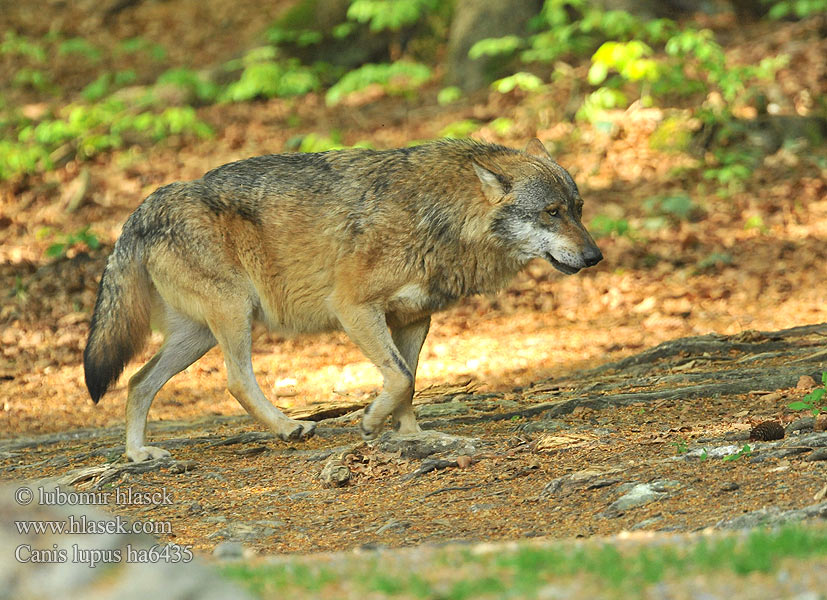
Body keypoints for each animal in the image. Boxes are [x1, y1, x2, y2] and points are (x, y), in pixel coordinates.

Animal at [82, 138, 600, 462]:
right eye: (551, 212)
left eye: (577, 209)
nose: (595, 256)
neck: (440, 216)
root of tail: (145, 205)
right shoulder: (354, 310)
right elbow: (399, 377)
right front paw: (371, 423)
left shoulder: (414, 320)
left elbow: (410, 383)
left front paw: (412, 435)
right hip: (234, 316)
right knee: (235, 380)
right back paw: (288, 427)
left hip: (197, 337)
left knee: (138, 382)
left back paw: (137, 454)